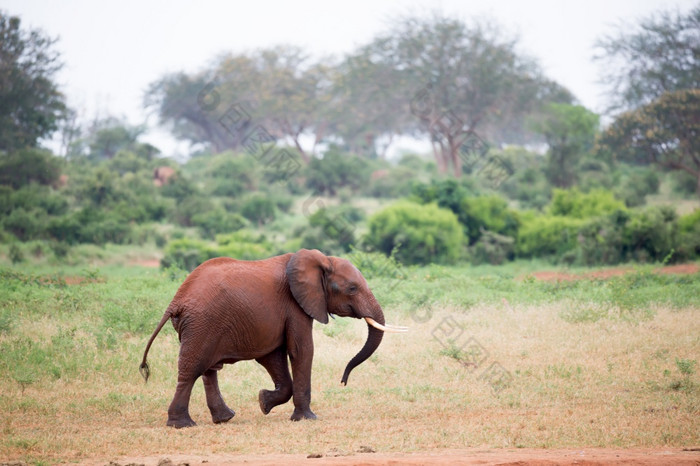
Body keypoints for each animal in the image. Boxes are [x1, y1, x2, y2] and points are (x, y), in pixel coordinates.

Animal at [139, 249, 408, 428]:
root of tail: (176, 301)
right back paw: (182, 424)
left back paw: (224, 418)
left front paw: (263, 402)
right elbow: (302, 350)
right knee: (191, 370)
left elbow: (273, 357)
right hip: (202, 324)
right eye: (352, 288)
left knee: (208, 370)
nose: (343, 382)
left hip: (202, 326)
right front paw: (307, 419)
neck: (319, 260)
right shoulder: (296, 305)